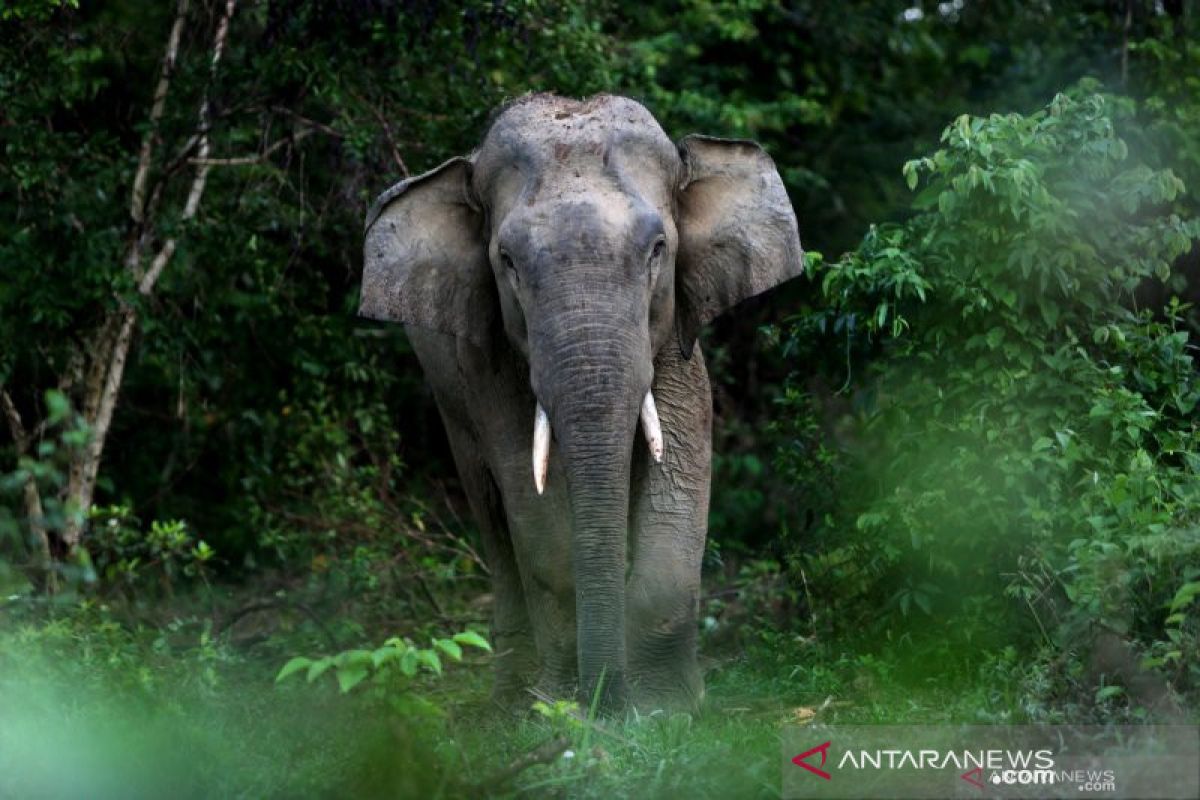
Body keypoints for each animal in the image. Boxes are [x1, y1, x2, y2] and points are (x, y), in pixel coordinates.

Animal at [357, 94, 806, 714]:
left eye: (659, 249)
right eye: (507, 261)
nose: (610, 707)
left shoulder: (675, 339)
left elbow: (680, 474)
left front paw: (666, 707)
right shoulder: (490, 364)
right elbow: (537, 514)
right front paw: (566, 707)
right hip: (448, 396)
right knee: (491, 512)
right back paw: (512, 701)